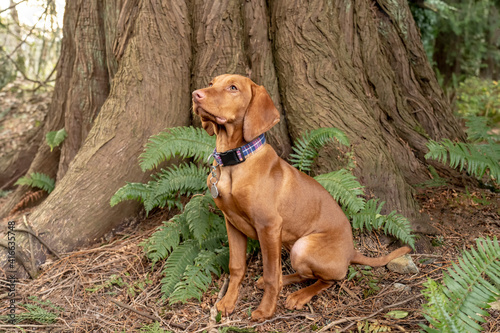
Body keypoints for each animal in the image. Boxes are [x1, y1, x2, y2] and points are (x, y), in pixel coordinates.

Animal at [191, 74, 410, 320]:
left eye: (233, 88)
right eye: (211, 83)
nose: (196, 95)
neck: (235, 162)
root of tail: (351, 251)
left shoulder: (269, 226)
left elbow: (271, 275)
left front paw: (266, 310)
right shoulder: (232, 222)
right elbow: (236, 266)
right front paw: (228, 302)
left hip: (302, 246)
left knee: (330, 279)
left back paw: (300, 296)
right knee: (302, 275)